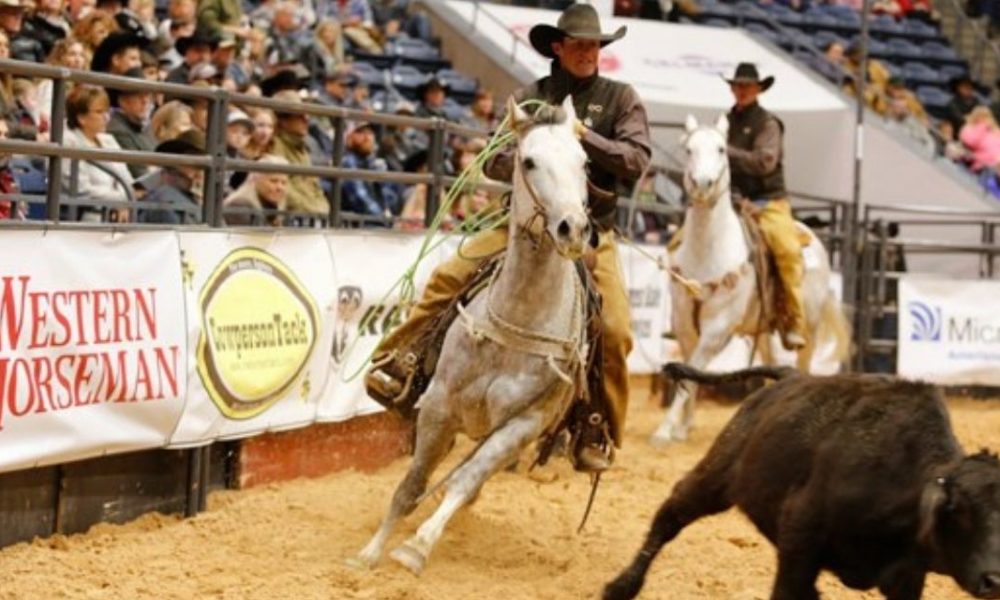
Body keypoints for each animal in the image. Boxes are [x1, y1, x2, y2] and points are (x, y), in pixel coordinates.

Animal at [350, 96, 588, 576]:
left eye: (583, 162)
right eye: (528, 161)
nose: (572, 227)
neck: (519, 313)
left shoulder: (523, 425)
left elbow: (464, 481)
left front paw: (416, 547)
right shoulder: (439, 405)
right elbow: (411, 483)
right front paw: (371, 551)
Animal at [604, 364, 1000, 600]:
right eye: (958, 510)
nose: (994, 580)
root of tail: (791, 375)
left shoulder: (907, 577)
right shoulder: (800, 537)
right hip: (716, 476)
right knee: (671, 516)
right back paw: (621, 585)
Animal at [652, 115, 848, 442]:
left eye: (721, 149)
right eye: (689, 149)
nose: (702, 184)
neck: (707, 251)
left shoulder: (718, 328)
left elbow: (692, 372)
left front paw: (666, 430)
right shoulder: (683, 323)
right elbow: (688, 369)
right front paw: (683, 426)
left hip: (809, 327)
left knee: (803, 362)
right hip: (764, 330)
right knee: (770, 364)